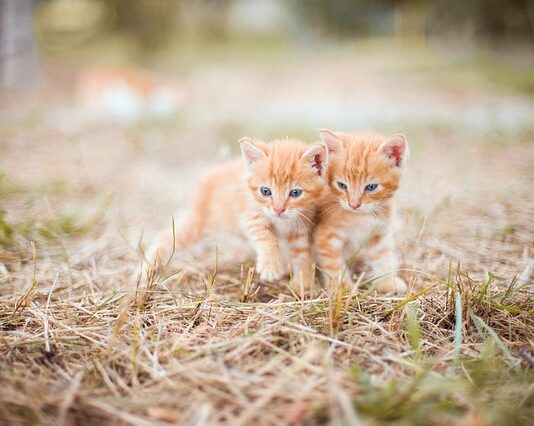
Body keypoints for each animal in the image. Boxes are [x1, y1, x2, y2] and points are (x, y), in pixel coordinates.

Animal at [153, 138, 328, 282]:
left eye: (295, 193)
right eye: (265, 191)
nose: (278, 210)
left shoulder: (300, 227)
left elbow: (302, 254)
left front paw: (304, 282)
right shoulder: (251, 216)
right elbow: (266, 237)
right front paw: (271, 265)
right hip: (197, 223)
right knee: (166, 239)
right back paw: (148, 268)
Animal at [318, 130, 410, 294]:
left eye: (371, 187)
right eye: (342, 185)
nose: (354, 204)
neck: (360, 217)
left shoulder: (378, 235)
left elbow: (383, 258)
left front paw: (387, 282)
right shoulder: (326, 237)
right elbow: (334, 265)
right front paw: (342, 289)